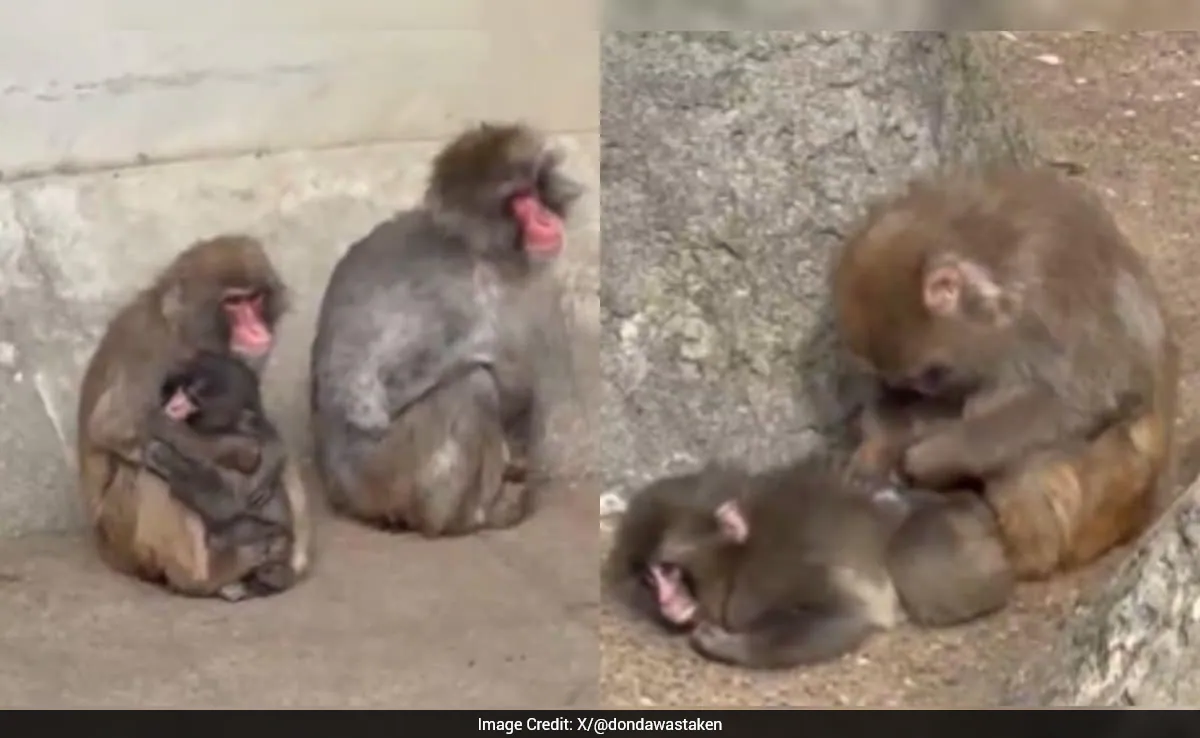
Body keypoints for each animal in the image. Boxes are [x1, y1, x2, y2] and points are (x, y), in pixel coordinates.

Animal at [76, 234, 313, 601]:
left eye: (255, 298)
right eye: (233, 303)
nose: (257, 330)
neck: (185, 331)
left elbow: (256, 419)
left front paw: (270, 454)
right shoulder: (153, 352)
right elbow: (118, 426)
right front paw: (241, 456)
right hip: (120, 539)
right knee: (149, 468)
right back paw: (206, 576)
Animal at [309, 122, 584, 536]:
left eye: (534, 190)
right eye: (517, 201)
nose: (544, 218)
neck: (482, 254)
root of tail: (336, 489)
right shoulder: (452, 297)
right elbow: (364, 393)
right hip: (384, 473)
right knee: (473, 386)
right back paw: (461, 519)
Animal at [603, 455, 1013, 670]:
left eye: (669, 571)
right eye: (651, 579)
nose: (666, 602)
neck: (741, 555)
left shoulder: (769, 575)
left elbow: (847, 613)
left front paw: (725, 645)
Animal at [832, 166, 1179, 581]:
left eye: (933, 374)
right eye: (913, 380)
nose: (924, 391)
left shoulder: (1048, 300)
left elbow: (1086, 396)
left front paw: (933, 456)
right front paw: (879, 443)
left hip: (1109, 482)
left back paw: (1027, 555)